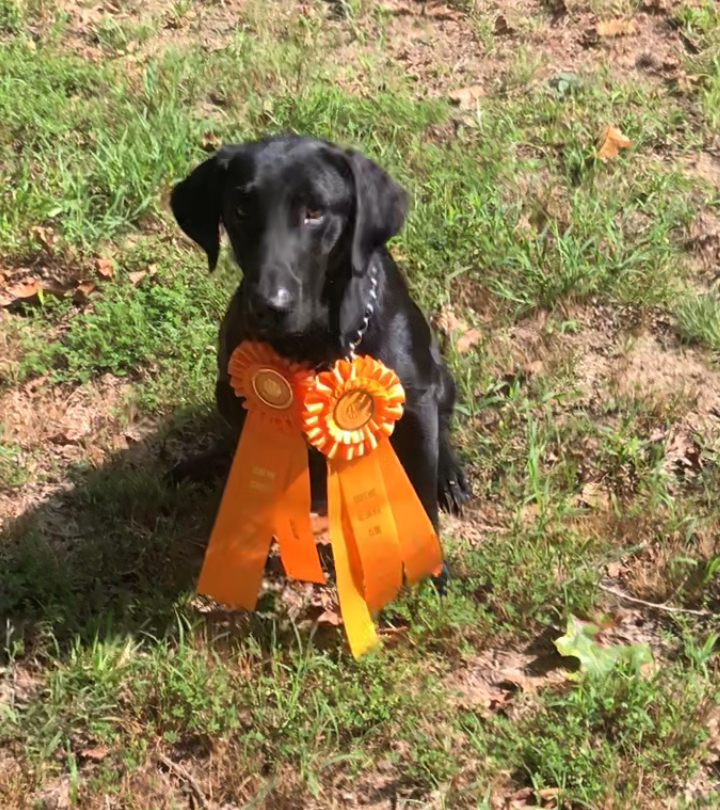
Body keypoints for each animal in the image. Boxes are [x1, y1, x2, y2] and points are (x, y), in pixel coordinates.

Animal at [171, 137, 470, 580]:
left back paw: (449, 477)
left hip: (439, 376)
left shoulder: (415, 402)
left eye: (315, 212)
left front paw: (430, 570)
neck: (312, 344)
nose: (268, 306)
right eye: (242, 208)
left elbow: (420, 494)